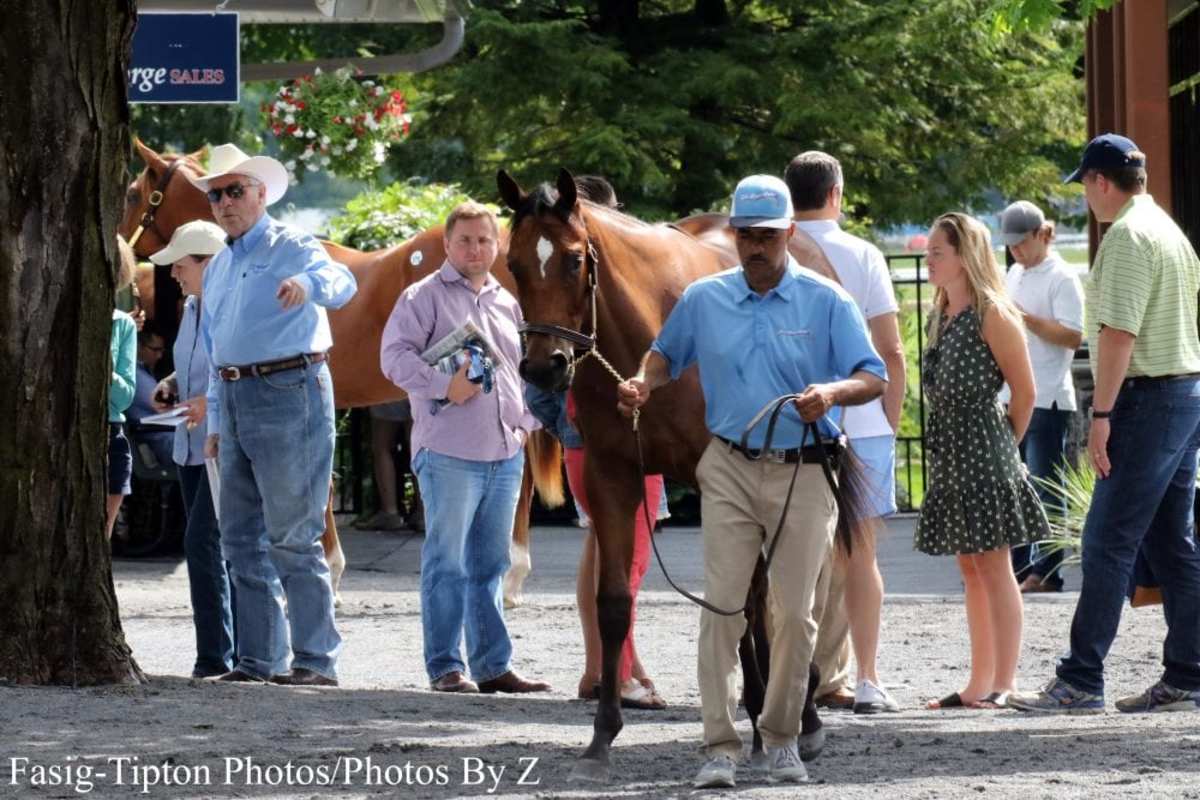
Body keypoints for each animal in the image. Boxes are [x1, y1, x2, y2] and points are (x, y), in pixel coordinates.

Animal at [501, 167, 859, 782]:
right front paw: (602, 735)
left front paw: (768, 720)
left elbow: (750, 600)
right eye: (513, 263)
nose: (542, 366)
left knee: (780, 594)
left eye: (573, 260)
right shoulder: (612, 478)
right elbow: (614, 603)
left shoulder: (728, 474)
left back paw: (792, 706)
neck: (644, 334)